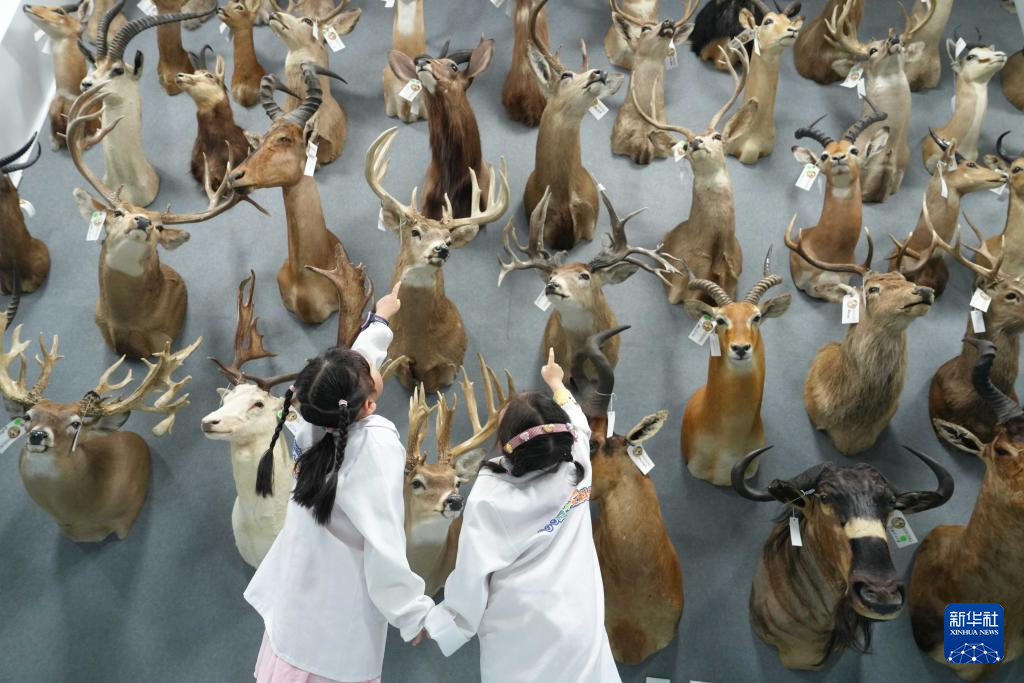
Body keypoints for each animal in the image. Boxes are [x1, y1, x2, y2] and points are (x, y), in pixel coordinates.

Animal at [365, 127, 509, 392]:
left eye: (449, 240)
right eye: (415, 232)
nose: (441, 250)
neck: (418, 345)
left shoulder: (450, 361)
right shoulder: (396, 356)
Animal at [631, 50, 754, 304]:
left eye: (717, 136)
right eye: (686, 146)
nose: (697, 142)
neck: (714, 249)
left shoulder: (733, 277)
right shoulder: (681, 285)